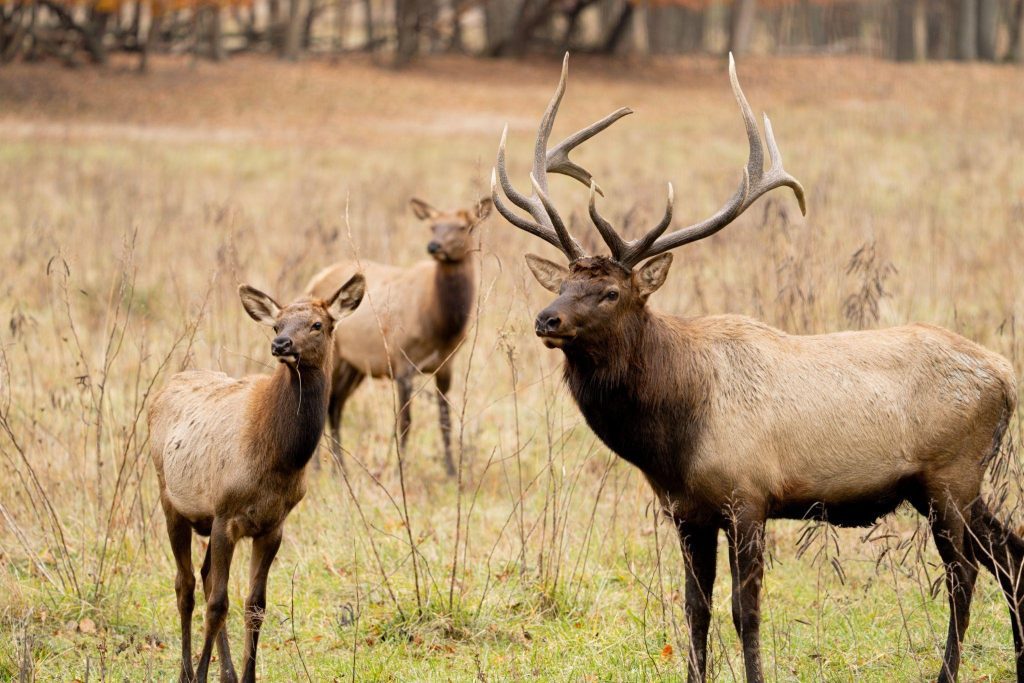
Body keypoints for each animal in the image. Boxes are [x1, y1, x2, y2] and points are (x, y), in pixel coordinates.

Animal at [148, 275, 365, 683]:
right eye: (277, 324)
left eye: (317, 324)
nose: (281, 345)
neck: (280, 458)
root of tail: (167, 385)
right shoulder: (225, 514)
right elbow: (218, 604)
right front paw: (203, 674)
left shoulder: (272, 525)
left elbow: (255, 604)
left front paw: (245, 676)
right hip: (170, 499)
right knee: (186, 585)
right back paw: (186, 672)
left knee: (203, 577)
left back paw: (227, 673)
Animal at [305, 196, 492, 476]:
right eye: (432, 226)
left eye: (464, 227)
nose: (434, 246)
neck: (439, 324)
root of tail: (315, 279)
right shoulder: (403, 362)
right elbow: (405, 423)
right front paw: (400, 468)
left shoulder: (446, 365)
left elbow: (444, 420)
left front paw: (450, 470)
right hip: (334, 356)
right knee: (325, 404)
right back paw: (318, 468)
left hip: (354, 366)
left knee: (335, 405)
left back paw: (340, 468)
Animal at [492, 53, 1023, 683]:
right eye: (563, 284)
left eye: (611, 293)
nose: (546, 319)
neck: (673, 436)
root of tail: (1006, 375)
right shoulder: (686, 511)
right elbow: (694, 608)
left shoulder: (748, 495)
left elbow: (744, 610)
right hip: (948, 484)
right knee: (1010, 553)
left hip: (951, 475)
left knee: (966, 573)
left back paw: (948, 672)